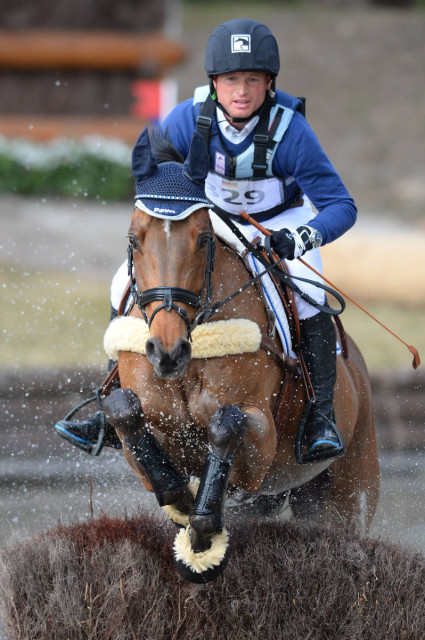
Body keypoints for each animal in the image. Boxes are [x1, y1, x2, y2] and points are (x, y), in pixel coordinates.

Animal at [102, 130, 378, 584]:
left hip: (348, 494)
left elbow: (227, 423)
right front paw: (181, 498)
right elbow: (123, 409)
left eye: (202, 238)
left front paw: (201, 532)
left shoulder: (262, 441)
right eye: (132, 238)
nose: (167, 351)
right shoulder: (142, 434)